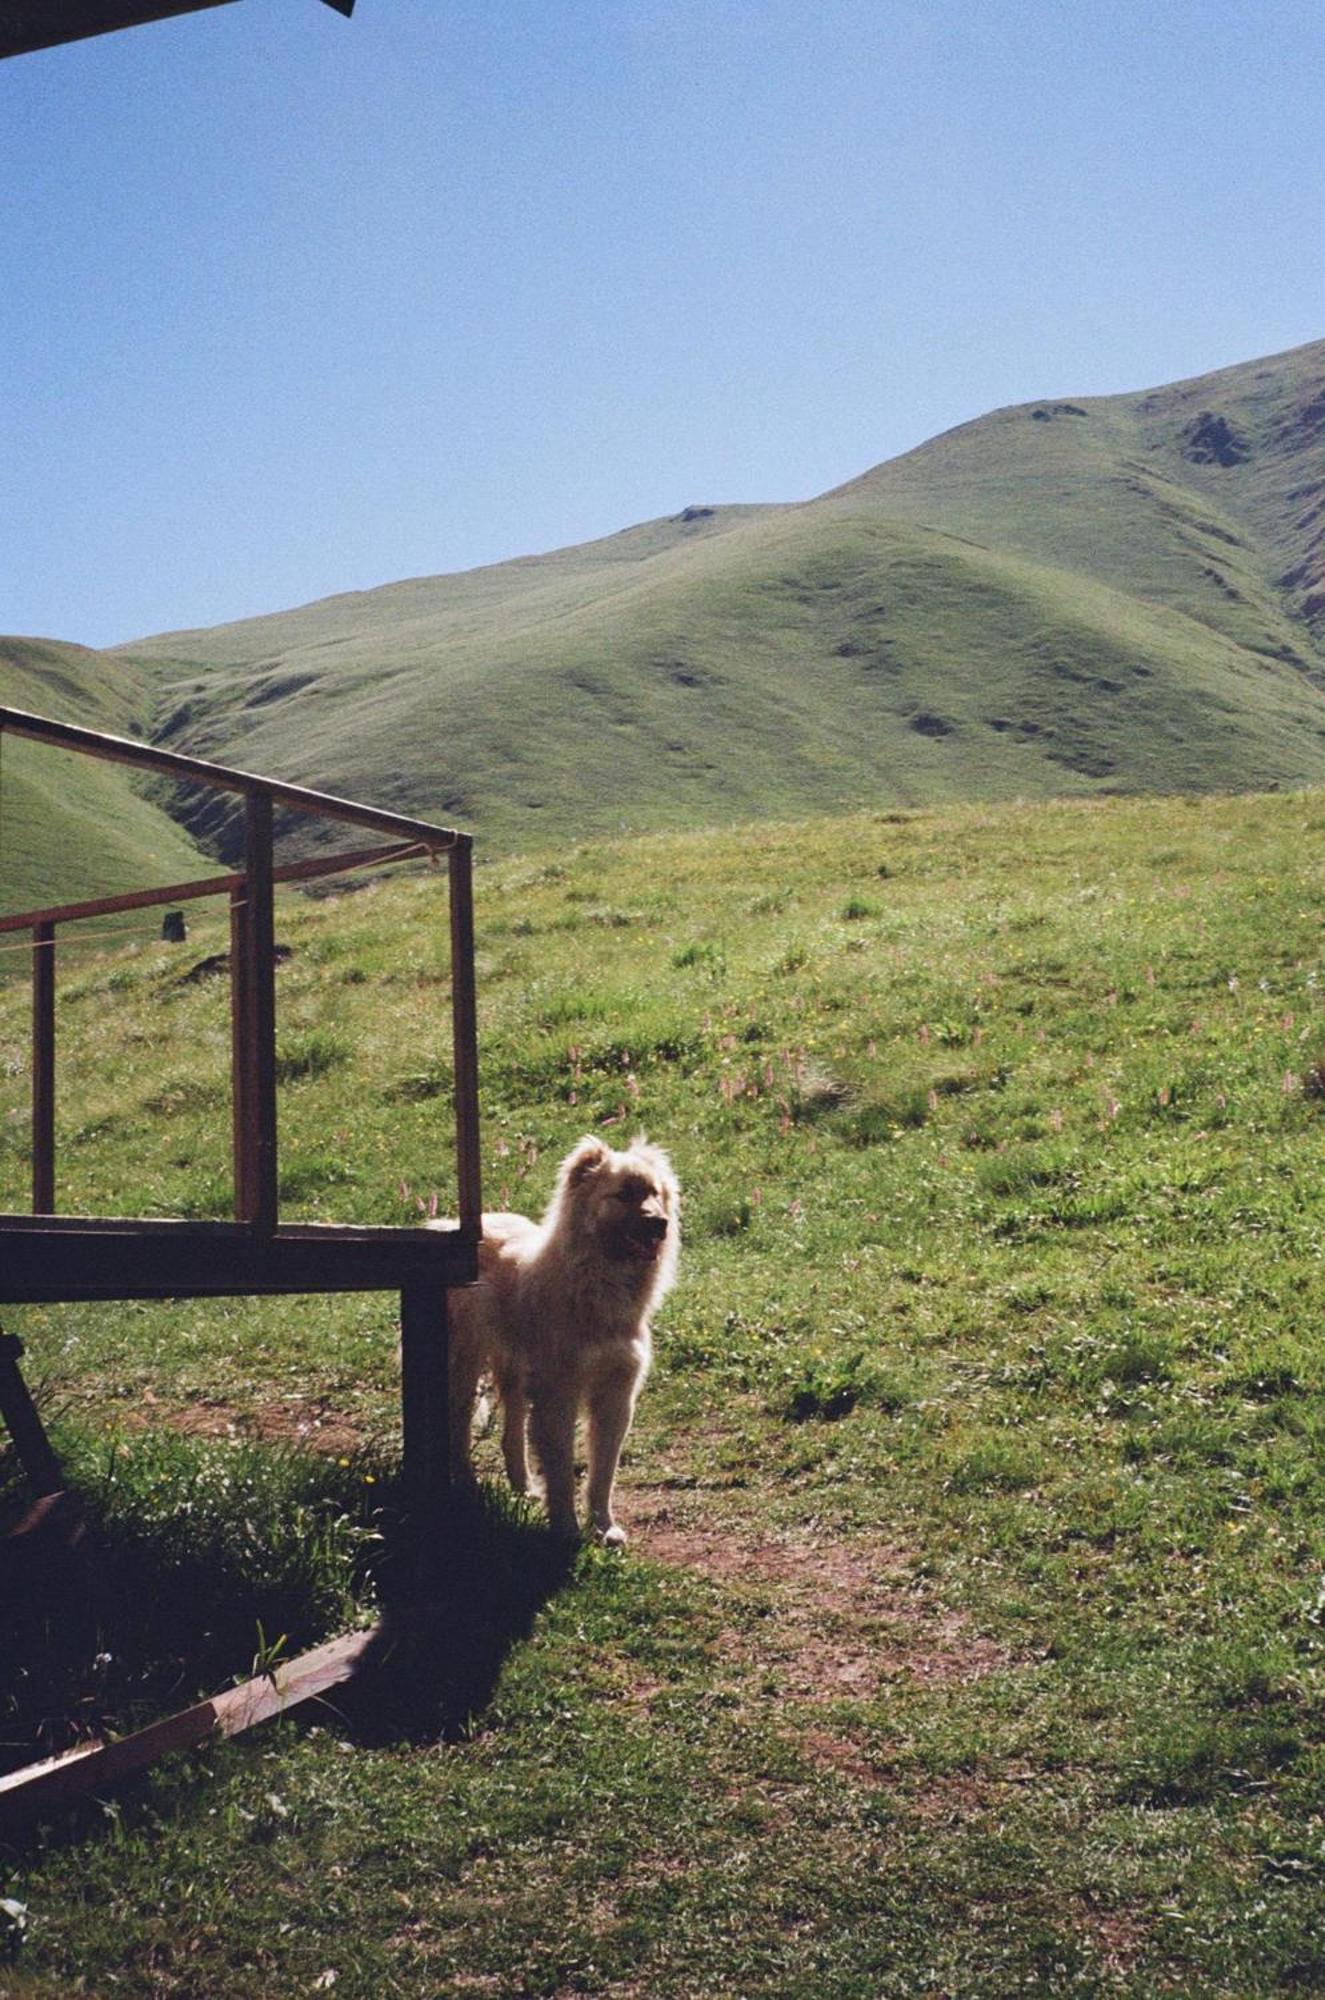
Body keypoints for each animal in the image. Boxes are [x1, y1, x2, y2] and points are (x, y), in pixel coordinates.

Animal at [448, 1144, 680, 1544]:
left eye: (653, 1193)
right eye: (623, 1194)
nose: (660, 1224)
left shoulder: (616, 1395)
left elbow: (603, 1472)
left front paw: (604, 1526)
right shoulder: (559, 1393)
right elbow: (561, 1468)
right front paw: (567, 1528)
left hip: (515, 1374)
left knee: (511, 1432)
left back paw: (523, 1487)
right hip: (465, 1366)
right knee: (459, 1427)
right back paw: (464, 1485)